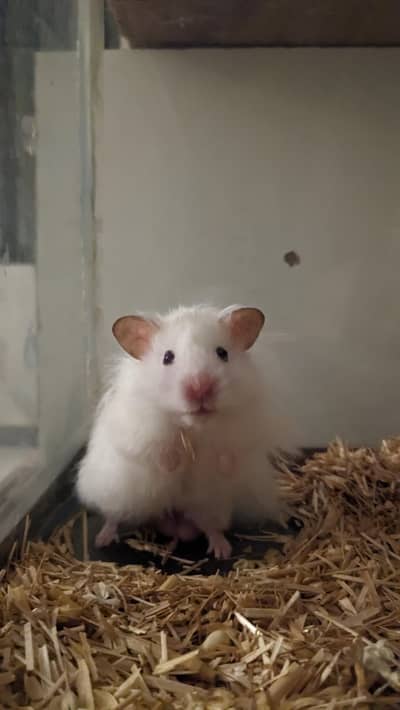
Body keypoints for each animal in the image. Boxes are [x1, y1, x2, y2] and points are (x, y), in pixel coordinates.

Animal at [76, 304, 295, 559]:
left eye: (222, 353)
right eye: (167, 357)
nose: (200, 389)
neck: (193, 426)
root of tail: (173, 517)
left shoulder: (244, 428)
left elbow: (228, 453)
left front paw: (222, 467)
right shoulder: (138, 429)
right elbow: (159, 451)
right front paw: (174, 464)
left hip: (211, 504)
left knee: (210, 527)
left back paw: (222, 550)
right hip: (118, 495)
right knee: (114, 517)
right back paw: (103, 539)